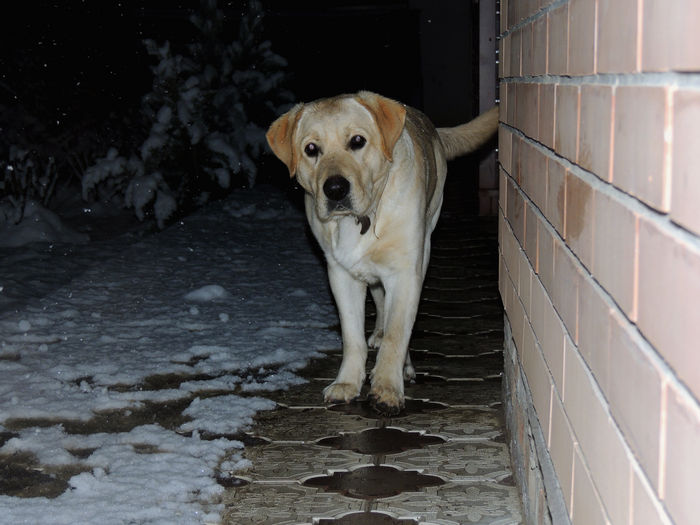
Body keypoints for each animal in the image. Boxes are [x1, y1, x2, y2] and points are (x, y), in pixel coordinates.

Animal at [266, 91, 494, 414]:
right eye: (311, 149)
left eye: (357, 141)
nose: (335, 189)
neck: (363, 218)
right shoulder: (341, 275)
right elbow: (352, 337)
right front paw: (347, 383)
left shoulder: (405, 273)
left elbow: (397, 335)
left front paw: (387, 388)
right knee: (380, 303)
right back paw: (376, 335)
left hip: (425, 241)